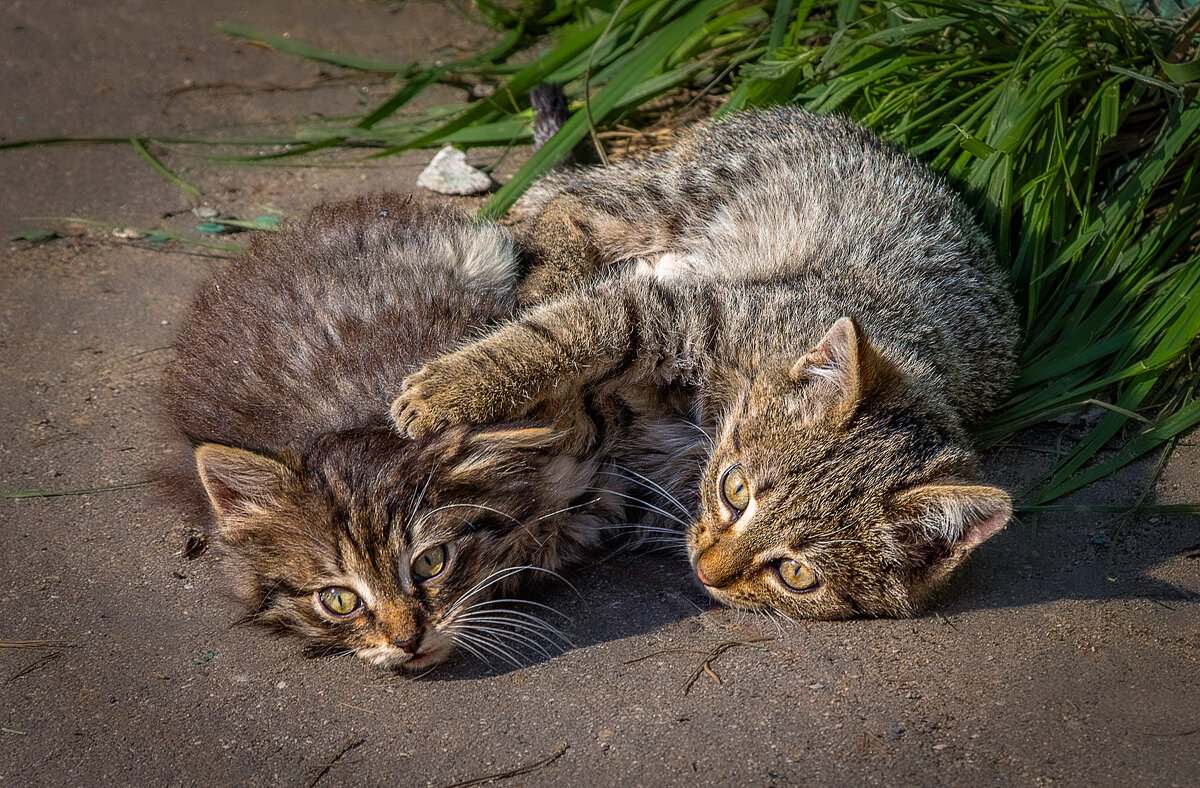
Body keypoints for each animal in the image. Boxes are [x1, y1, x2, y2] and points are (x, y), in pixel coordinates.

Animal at [388, 106, 1017, 618]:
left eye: (796, 574)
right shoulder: (675, 313)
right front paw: (444, 392)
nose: (707, 571)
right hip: (676, 196)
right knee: (574, 202)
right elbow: (567, 332)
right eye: (735, 490)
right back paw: (552, 275)